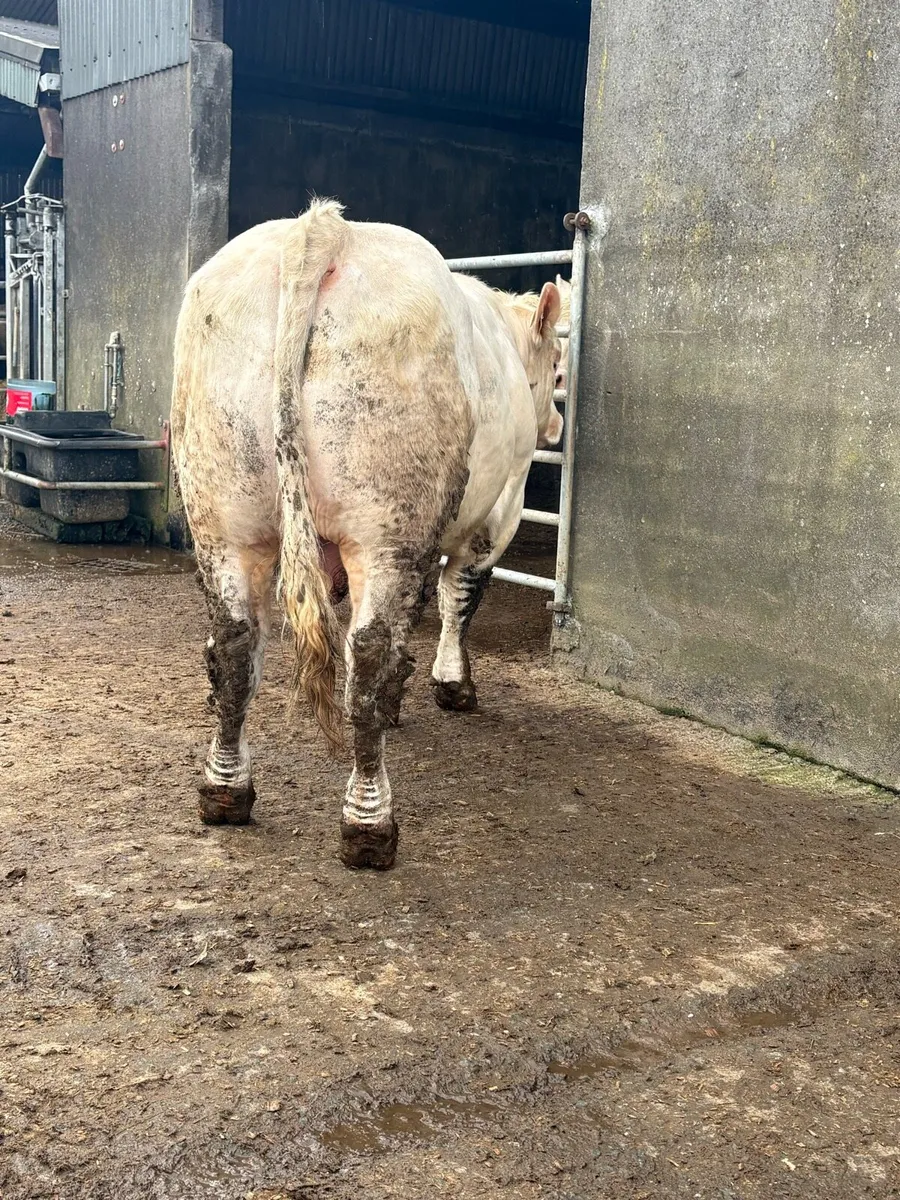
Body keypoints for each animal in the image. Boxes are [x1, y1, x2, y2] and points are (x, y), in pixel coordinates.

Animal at [171, 199, 562, 870]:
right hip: (386, 524)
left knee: (234, 646)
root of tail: (323, 229)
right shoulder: (498, 513)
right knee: (368, 660)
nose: (558, 423)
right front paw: (452, 685)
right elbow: (458, 599)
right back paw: (370, 822)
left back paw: (225, 790)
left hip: (222, 512)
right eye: (558, 367)